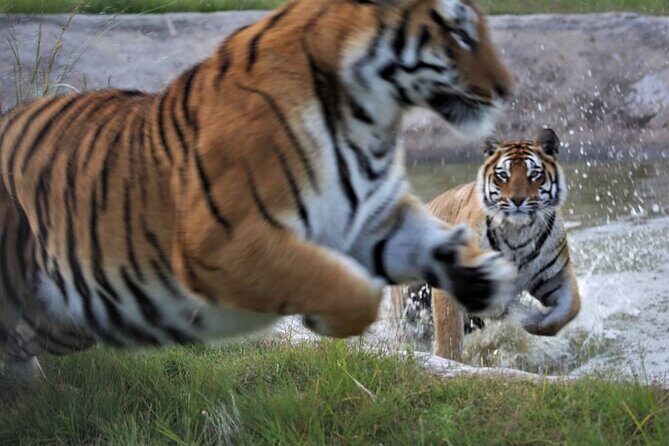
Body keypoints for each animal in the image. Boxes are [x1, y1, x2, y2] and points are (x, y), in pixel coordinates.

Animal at [0, 0, 515, 381]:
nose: (507, 89)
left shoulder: (371, 221)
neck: (368, 116)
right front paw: (325, 321)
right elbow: (347, 288)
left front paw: (486, 276)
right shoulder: (224, 242)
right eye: (461, 34)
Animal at [392, 129, 581, 360]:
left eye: (534, 174)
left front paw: (531, 321)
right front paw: (448, 361)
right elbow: (449, 335)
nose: (518, 200)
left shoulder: (555, 275)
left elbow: (570, 308)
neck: (518, 232)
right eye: (503, 175)